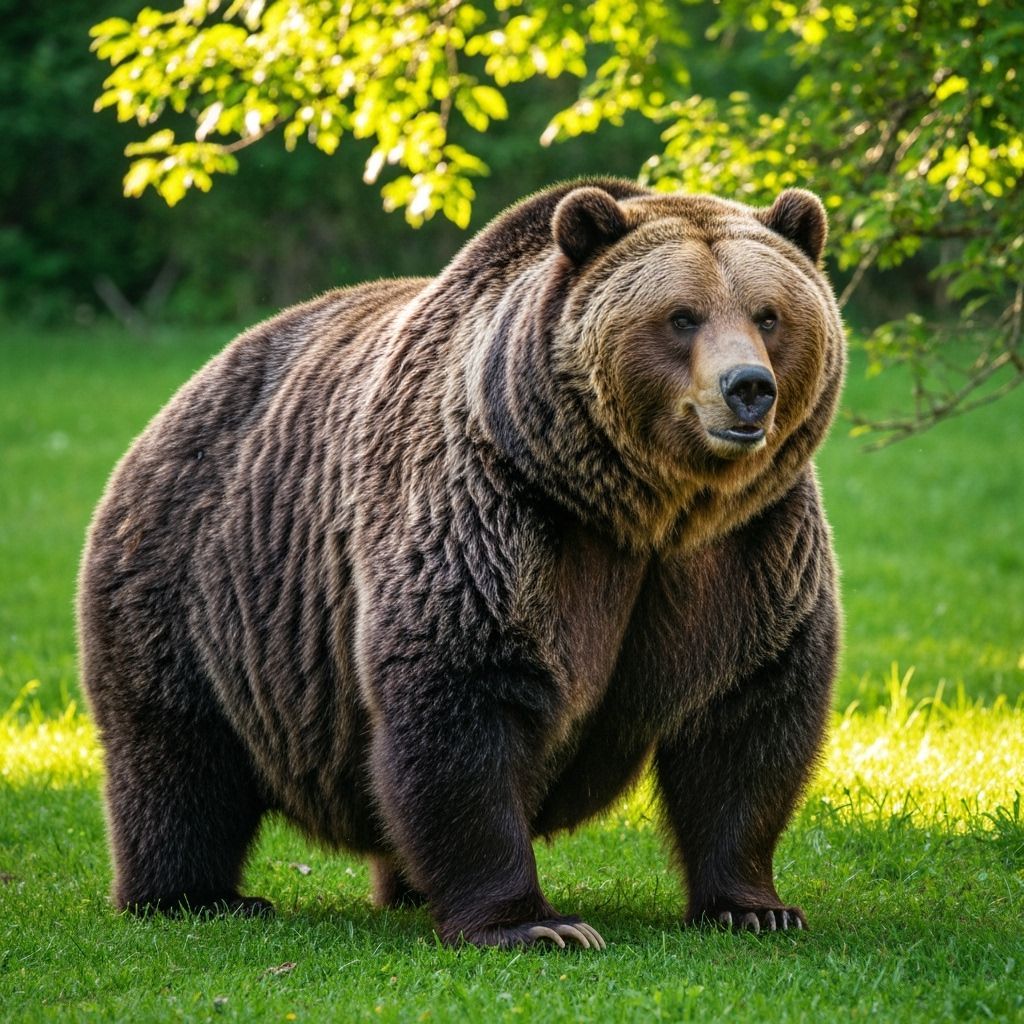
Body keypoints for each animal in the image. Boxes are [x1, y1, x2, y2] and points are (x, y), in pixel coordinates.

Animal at [78, 178, 845, 948]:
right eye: (682, 316)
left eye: (769, 314)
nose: (748, 387)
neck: (645, 509)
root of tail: (185, 394)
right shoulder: (501, 516)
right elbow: (462, 696)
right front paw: (537, 925)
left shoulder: (749, 548)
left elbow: (747, 719)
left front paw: (755, 906)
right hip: (195, 585)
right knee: (179, 758)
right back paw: (193, 894)